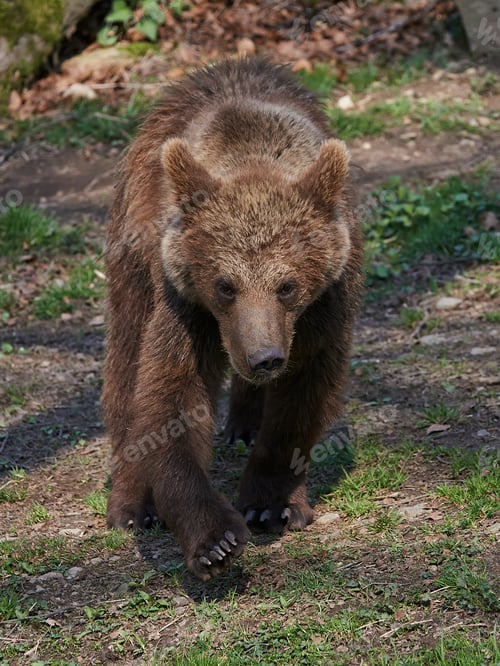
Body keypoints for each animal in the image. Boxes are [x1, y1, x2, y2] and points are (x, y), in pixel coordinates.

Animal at [102, 58, 364, 581]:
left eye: (287, 285)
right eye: (226, 285)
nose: (265, 358)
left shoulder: (324, 305)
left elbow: (305, 393)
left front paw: (272, 503)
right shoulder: (186, 304)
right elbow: (172, 398)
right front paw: (214, 539)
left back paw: (244, 422)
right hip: (133, 245)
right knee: (126, 356)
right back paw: (131, 501)